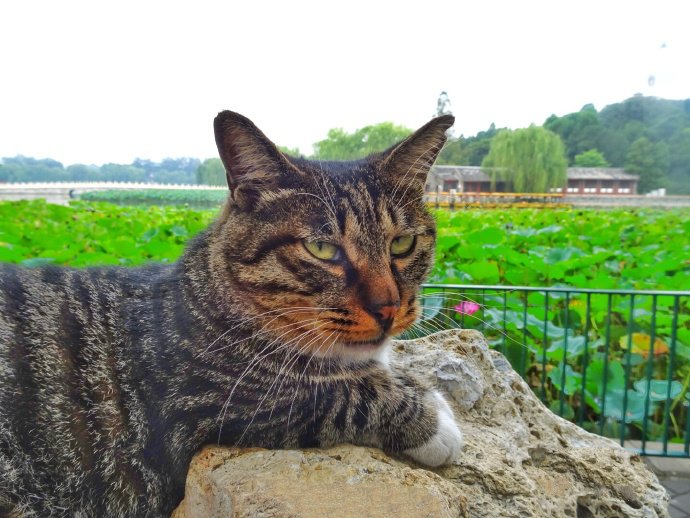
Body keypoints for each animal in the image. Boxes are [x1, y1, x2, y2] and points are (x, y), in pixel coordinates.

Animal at [2, 110, 462, 518]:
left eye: (402, 243)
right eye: (321, 248)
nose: (388, 307)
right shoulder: (208, 401)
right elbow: (339, 392)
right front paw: (435, 424)